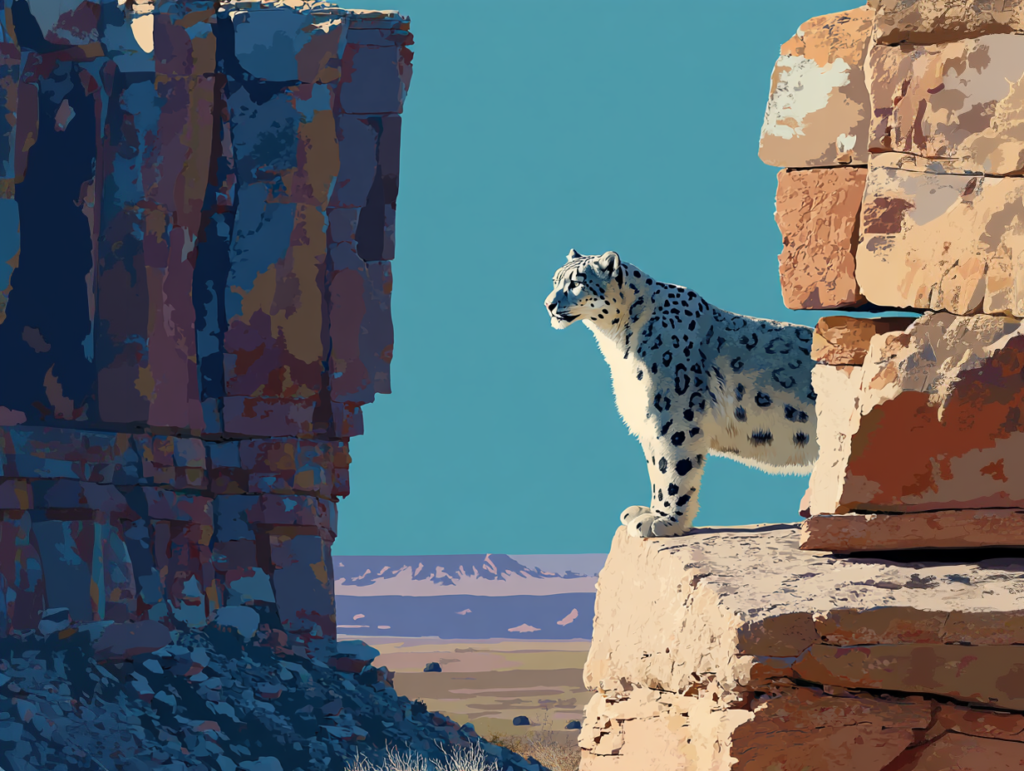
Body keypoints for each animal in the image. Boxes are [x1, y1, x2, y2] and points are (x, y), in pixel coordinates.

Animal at [544, 249, 819, 537]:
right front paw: (647, 511)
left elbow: (672, 469)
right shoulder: (649, 421)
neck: (616, 343)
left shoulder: (673, 417)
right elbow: (655, 467)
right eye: (555, 280)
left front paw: (663, 521)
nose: (548, 304)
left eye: (576, 282)